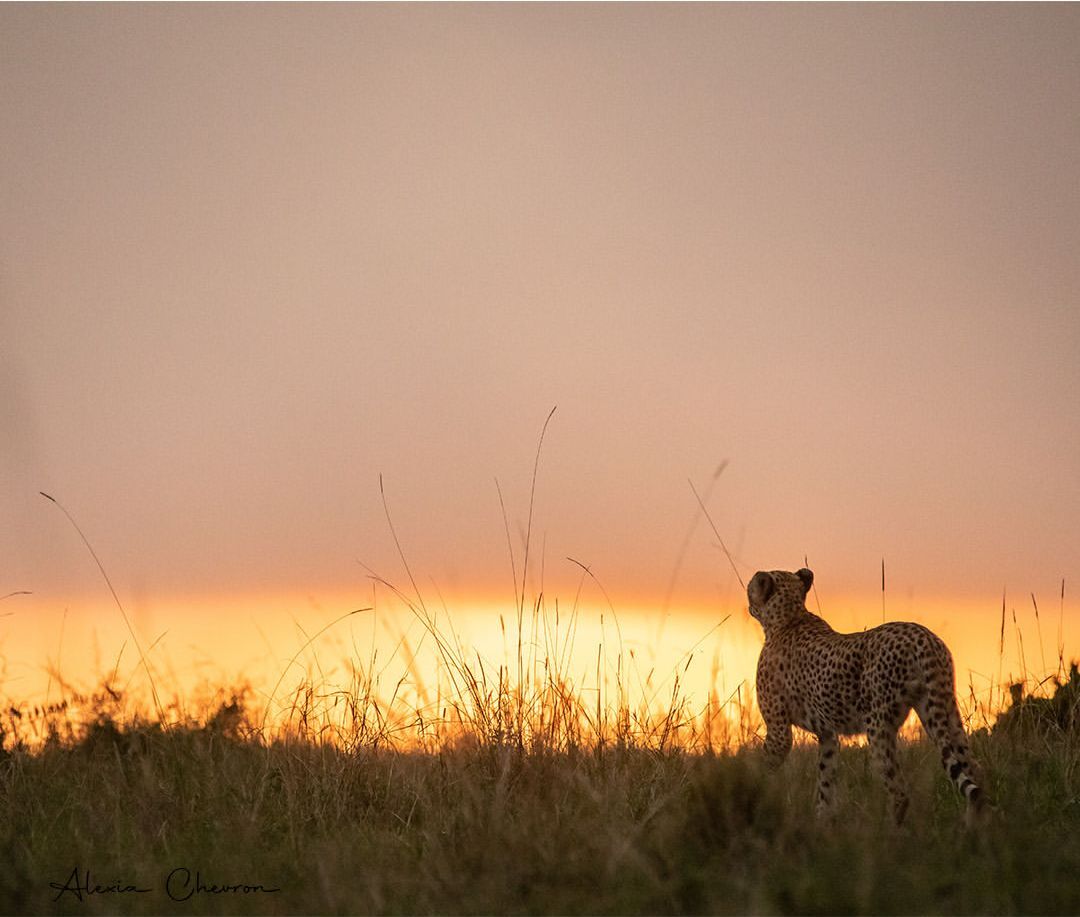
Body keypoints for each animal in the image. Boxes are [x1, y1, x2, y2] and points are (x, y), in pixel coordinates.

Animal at [747, 565, 984, 820]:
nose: (749, 600)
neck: (790, 617)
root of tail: (922, 636)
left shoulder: (778, 730)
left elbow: (766, 767)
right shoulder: (827, 734)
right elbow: (825, 782)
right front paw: (822, 821)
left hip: (878, 725)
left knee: (899, 790)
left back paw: (888, 827)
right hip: (942, 709)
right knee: (975, 772)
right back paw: (973, 825)